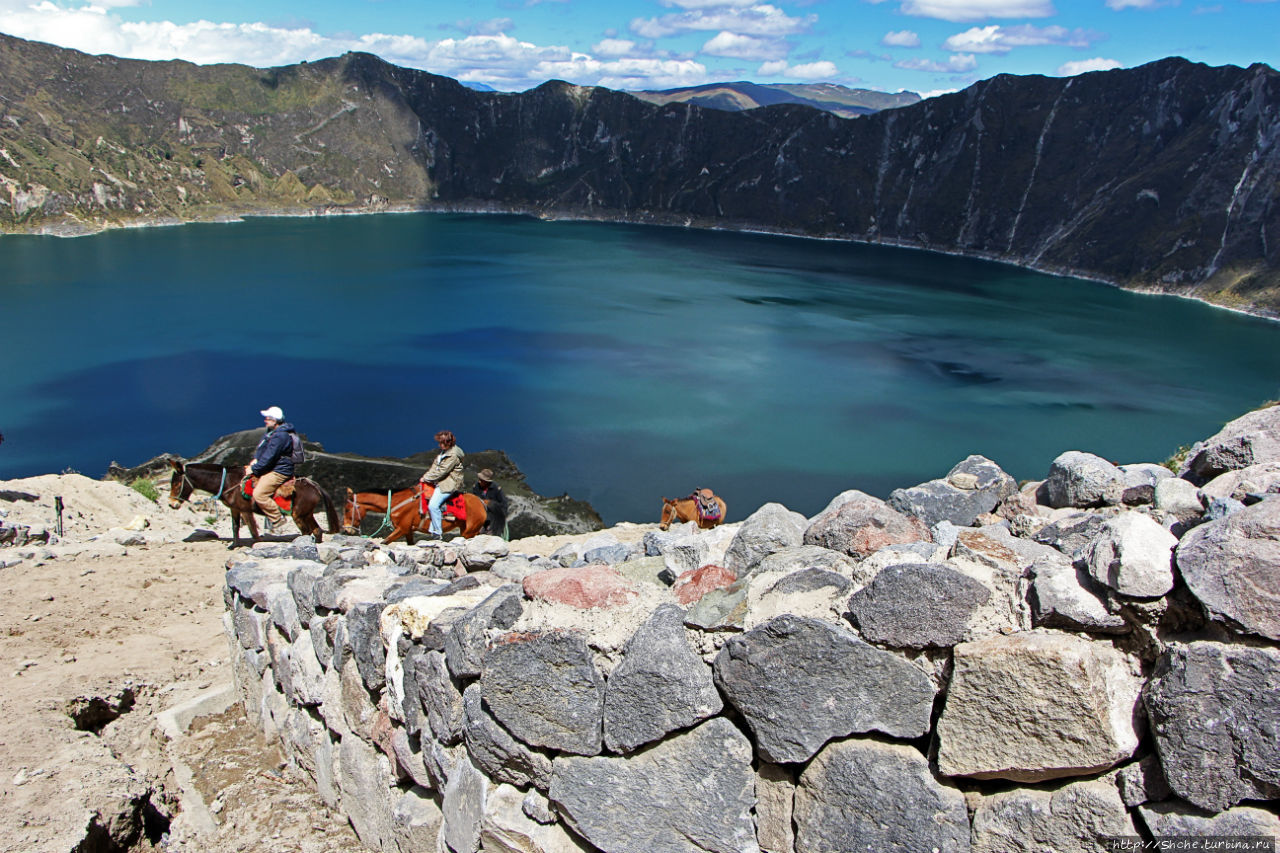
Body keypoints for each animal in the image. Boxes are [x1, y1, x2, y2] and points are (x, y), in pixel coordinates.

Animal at [170, 458, 340, 545]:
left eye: (177, 484)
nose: (172, 504)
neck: (229, 482)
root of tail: (314, 485)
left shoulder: (245, 510)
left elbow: (253, 531)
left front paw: (257, 545)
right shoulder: (235, 509)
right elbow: (235, 527)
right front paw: (234, 546)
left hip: (298, 515)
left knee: (306, 532)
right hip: (307, 514)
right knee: (317, 531)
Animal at [343, 481, 486, 540]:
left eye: (346, 510)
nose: (346, 530)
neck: (397, 501)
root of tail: (481, 503)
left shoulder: (402, 528)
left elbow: (385, 541)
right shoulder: (408, 531)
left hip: (469, 531)